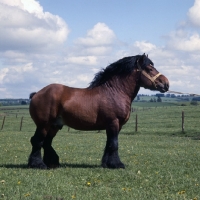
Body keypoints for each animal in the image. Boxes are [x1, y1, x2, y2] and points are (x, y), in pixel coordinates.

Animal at [27, 53, 169, 169]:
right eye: (150, 69)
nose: (166, 83)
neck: (115, 91)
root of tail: (36, 94)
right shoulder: (113, 122)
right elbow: (114, 144)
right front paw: (117, 164)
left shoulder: (115, 126)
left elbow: (109, 144)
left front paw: (106, 164)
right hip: (44, 124)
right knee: (37, 141)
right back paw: (38, 164)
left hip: (54, 125)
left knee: (47, 142)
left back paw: (52, 163)